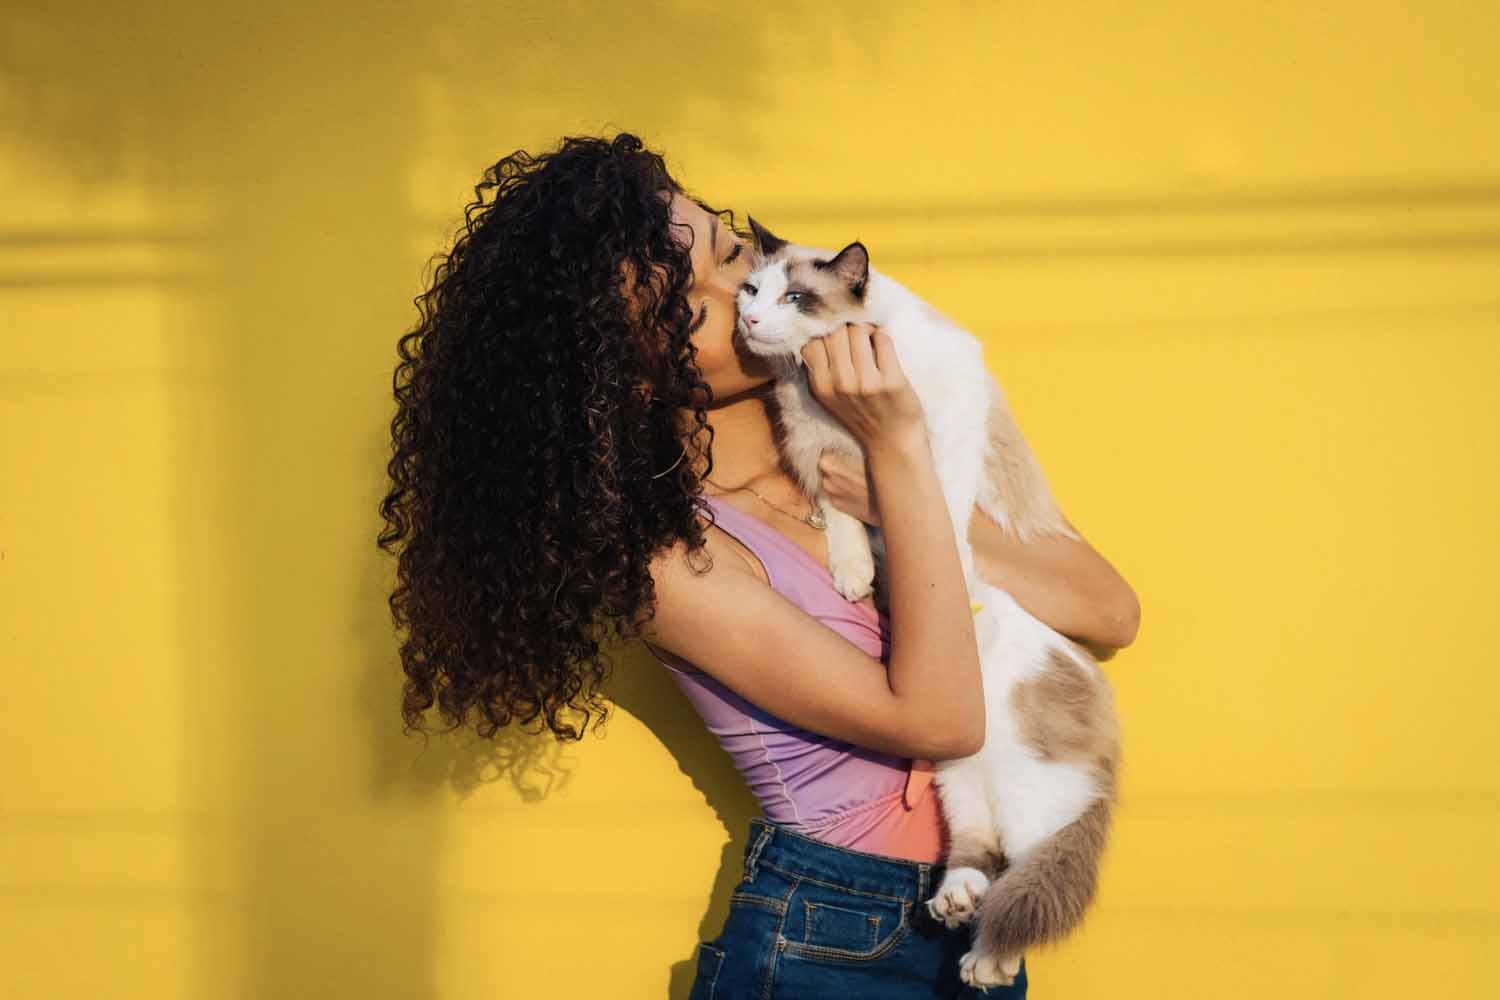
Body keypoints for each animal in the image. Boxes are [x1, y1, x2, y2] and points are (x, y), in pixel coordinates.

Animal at [732, 215, 1122, 989]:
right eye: (751, 289)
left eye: (796, 297)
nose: (751, 320)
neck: (820, 384)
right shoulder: (821, 455)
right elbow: (847, 525)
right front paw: (854, 576)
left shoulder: (932, 435)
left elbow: (937, 511)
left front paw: (934, 570)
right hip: (957, 780)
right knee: (981, 855)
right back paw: (952, 903)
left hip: (1033, 796)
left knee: (1028, 873)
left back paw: (986, 961)